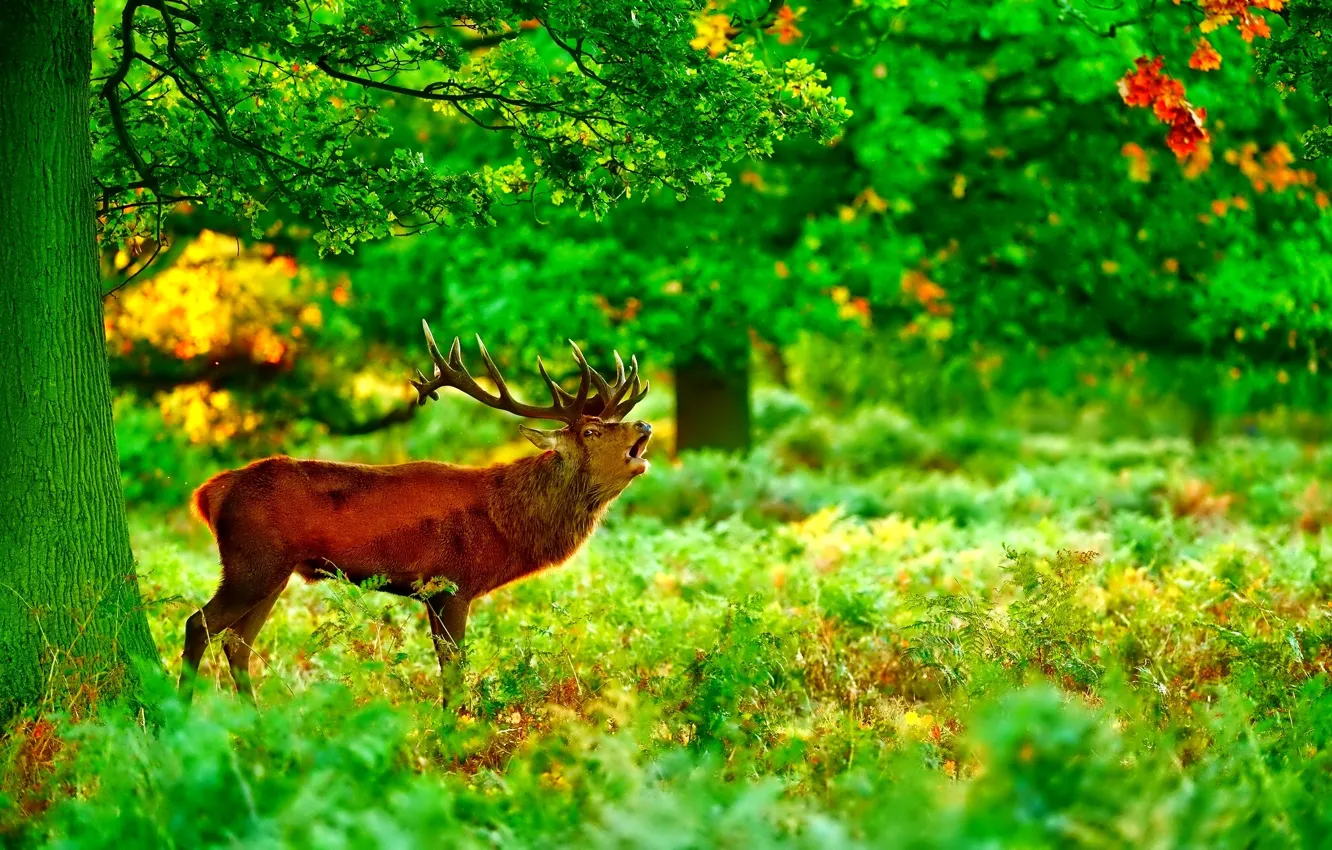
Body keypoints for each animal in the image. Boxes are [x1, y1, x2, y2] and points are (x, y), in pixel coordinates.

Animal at [179, 322, 652, 703]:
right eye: (590, 431)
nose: (644, 425)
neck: (505, 523)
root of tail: (209, 493)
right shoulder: (450, 584)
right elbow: (453, 673)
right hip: (251, 562)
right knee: (199, 624)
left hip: (274, 572)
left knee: (237, 642)